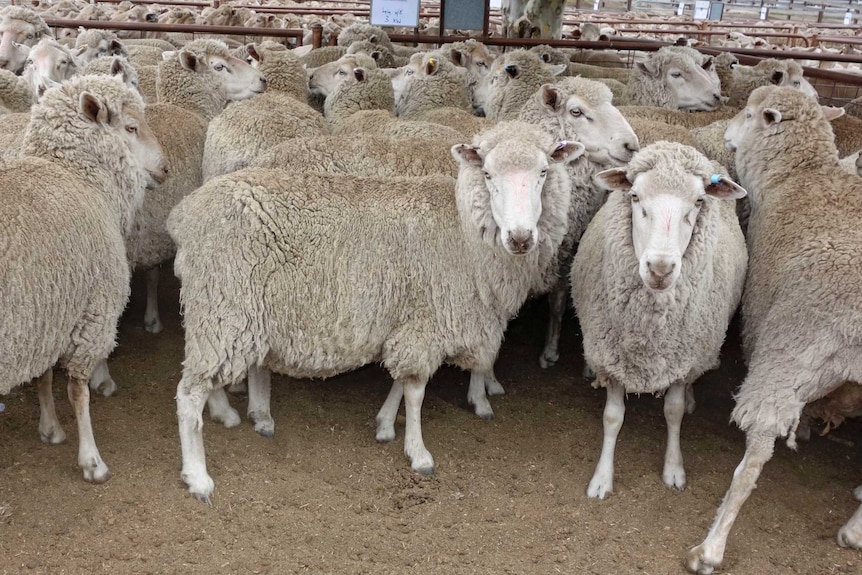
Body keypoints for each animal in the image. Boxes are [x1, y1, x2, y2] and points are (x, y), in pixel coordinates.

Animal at [167, 121, 588, 504]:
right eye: (487, 174)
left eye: (544, 172)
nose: (520, 237)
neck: (464, 232)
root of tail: (187, 213)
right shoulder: (426, 321)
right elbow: (416, 390)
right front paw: (418, 454)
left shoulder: (409, 320)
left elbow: (401, 383)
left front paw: (385, 424)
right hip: (224, 306)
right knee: (188, 394)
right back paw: (198, 476)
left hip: (230, 314)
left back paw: (231, 415)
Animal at [572, 142, 748, 502]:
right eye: (635, 196)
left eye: (698, 202)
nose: (660, 269)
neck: (649, 335)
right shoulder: (613, 360)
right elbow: (613, 418)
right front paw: (602, 478)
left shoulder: (681, 359)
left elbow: (674, 411)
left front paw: (673, 468)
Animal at [688, 85, 862, 575]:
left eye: (748, 114)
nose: (727, 134)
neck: (798, 177)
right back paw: (855, 529)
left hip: (789, 352)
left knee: (753, 458)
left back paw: (710, 547)